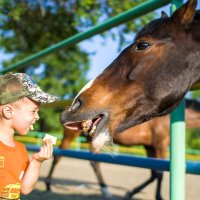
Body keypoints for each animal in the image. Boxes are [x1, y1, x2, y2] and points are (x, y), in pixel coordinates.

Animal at [45, 99, 200, 199]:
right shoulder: (160, 145)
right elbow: (159, 173)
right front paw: (155, 196)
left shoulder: (149, 146)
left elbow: (154, 173)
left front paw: (131, 193)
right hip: (71, 135)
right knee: (59, 155)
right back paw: (48, 186)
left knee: (94, 162)